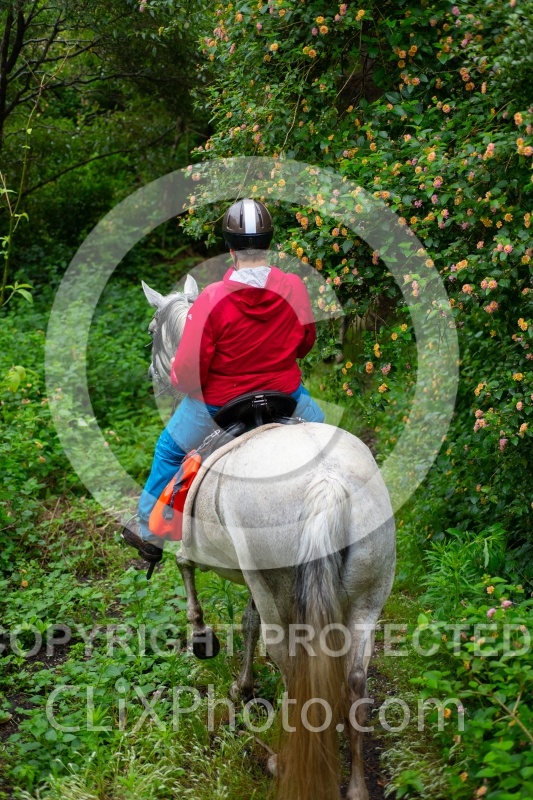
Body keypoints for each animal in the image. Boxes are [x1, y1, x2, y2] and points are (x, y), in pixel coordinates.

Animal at [141, 276, 396, 800]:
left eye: (154, 331)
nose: (156, 375)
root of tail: (326, 481)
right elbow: (248, 620)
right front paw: (243, 685)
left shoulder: (209, 555)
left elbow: (187, 570)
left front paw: (204, 639)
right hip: (368, 593)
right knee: (355, 678)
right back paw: (356, 785)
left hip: (281, 585)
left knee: (291, 663)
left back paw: (283, 760)